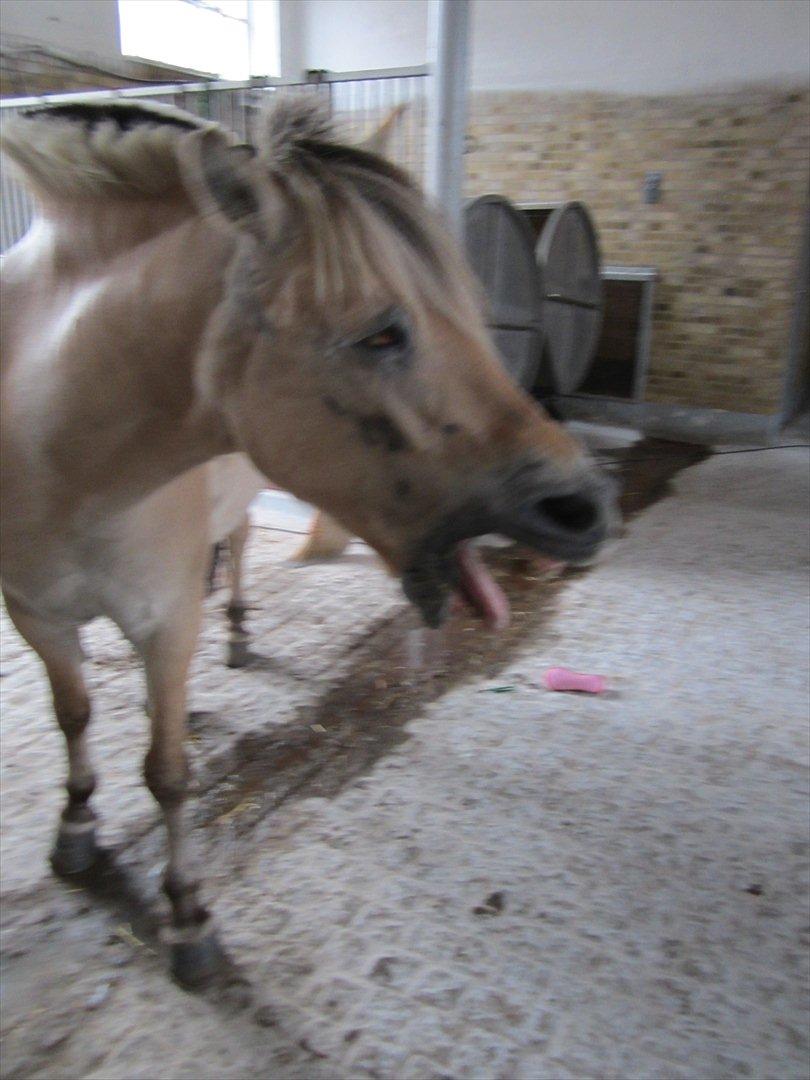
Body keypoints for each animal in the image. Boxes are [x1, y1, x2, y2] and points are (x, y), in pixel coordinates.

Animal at [0, 97, 618, 986]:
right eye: (382, 334)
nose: (587, 506)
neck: (62, 453)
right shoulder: (35, 615)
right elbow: (74, 716)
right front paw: (77, 825)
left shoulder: (165, 621)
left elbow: (168, 776)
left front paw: (186, 915)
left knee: (238, 548)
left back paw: (237, 634)